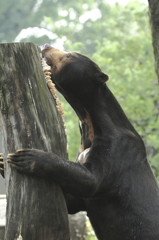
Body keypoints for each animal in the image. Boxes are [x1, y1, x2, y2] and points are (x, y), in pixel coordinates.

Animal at [6, 44, 159, 239]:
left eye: (69, 56)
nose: (46, 46)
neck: (89, 122)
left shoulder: (118, 149)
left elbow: (92, 180)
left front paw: (28, 157)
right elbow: (72, 201)